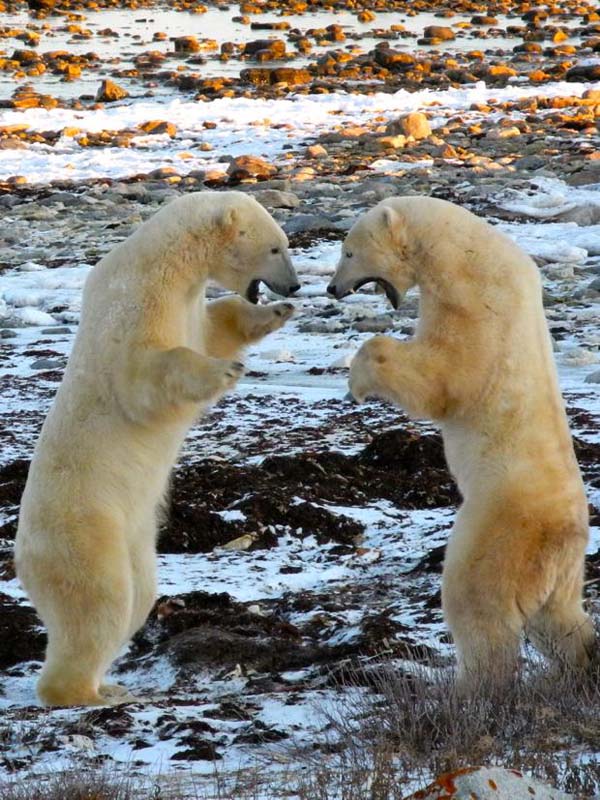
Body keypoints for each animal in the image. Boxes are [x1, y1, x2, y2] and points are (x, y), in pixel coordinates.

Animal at [16, 191, 300, 704]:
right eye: (274, 248)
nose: (295, 285)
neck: (163, 259)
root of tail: (21, 555)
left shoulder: (186, 302)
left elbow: (214, 329)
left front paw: (272, 315)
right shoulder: (137, 302)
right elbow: (147, 373)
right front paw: (224, 371)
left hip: (134, 534)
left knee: (139, 596)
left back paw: (108, 682)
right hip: (85, 529)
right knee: (101, 599)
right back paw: (84, 692)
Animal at [328, 197, 596, 692]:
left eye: (349, 252)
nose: (332, 288)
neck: (462, 252)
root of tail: (561, 535)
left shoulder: (473, 304)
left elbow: (441, 377)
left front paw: (358, 379)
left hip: (499, 530)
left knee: (478, 606)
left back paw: (469, 689)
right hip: (565, 566)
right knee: (559, 618)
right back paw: (584, 664)